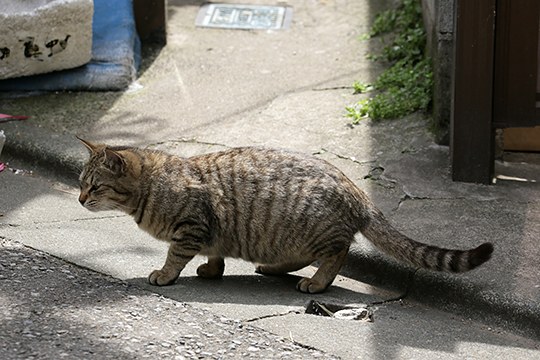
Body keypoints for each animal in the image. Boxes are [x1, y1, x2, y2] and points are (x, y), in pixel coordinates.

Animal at [77, 138, 494, 292]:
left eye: (94, 187)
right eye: (81, 183)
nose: (80, 200)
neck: (152, 186)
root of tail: (356, 191)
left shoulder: (192, 226)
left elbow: (175, 256)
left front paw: (165, 274)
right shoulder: (211, 233)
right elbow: (215, 254)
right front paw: (211, 270)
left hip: (317, 230)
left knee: (338, 253)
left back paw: (317, 282)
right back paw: (273, 268)